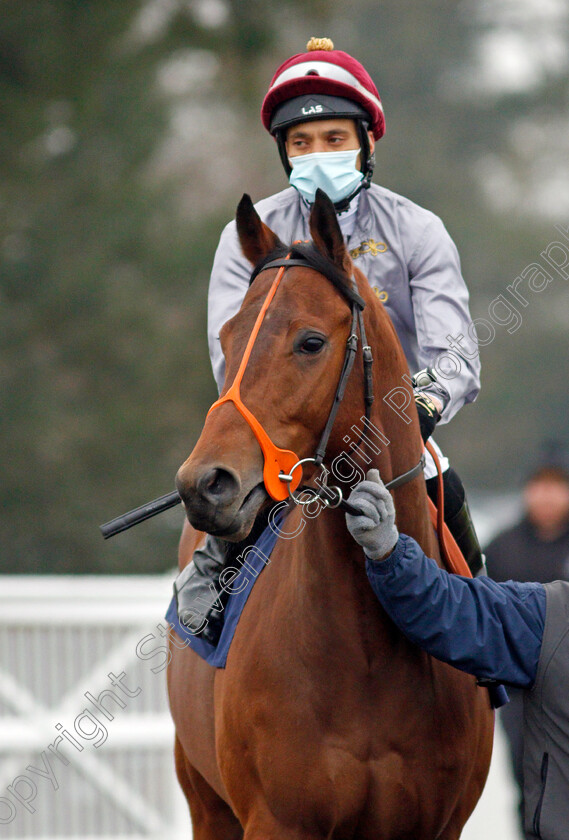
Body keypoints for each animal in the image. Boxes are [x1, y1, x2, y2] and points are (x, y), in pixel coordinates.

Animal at [169, 192, 492, 840]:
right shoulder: (277, 821)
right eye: (229, 335)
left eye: (311, 342)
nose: (204, 484)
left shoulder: (438, 825)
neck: (365, 651)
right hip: (204, 801)